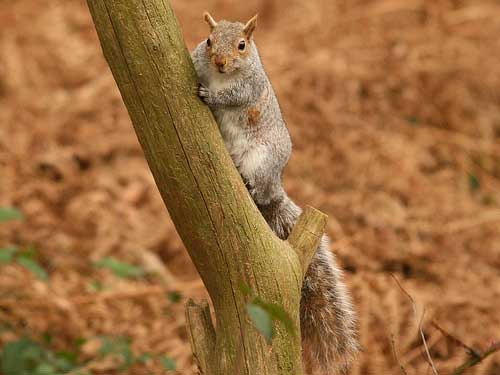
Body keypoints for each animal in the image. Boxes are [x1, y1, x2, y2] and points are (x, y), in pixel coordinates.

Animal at [189, 12, 358, 375]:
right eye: (209, 41)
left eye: (242, 45)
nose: (220, 62)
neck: (222, 75)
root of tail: (273, 187)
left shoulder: (249, 86)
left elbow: (235, 96)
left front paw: (212, 95)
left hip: (262, 159)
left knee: (256, 182)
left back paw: (249, 182)